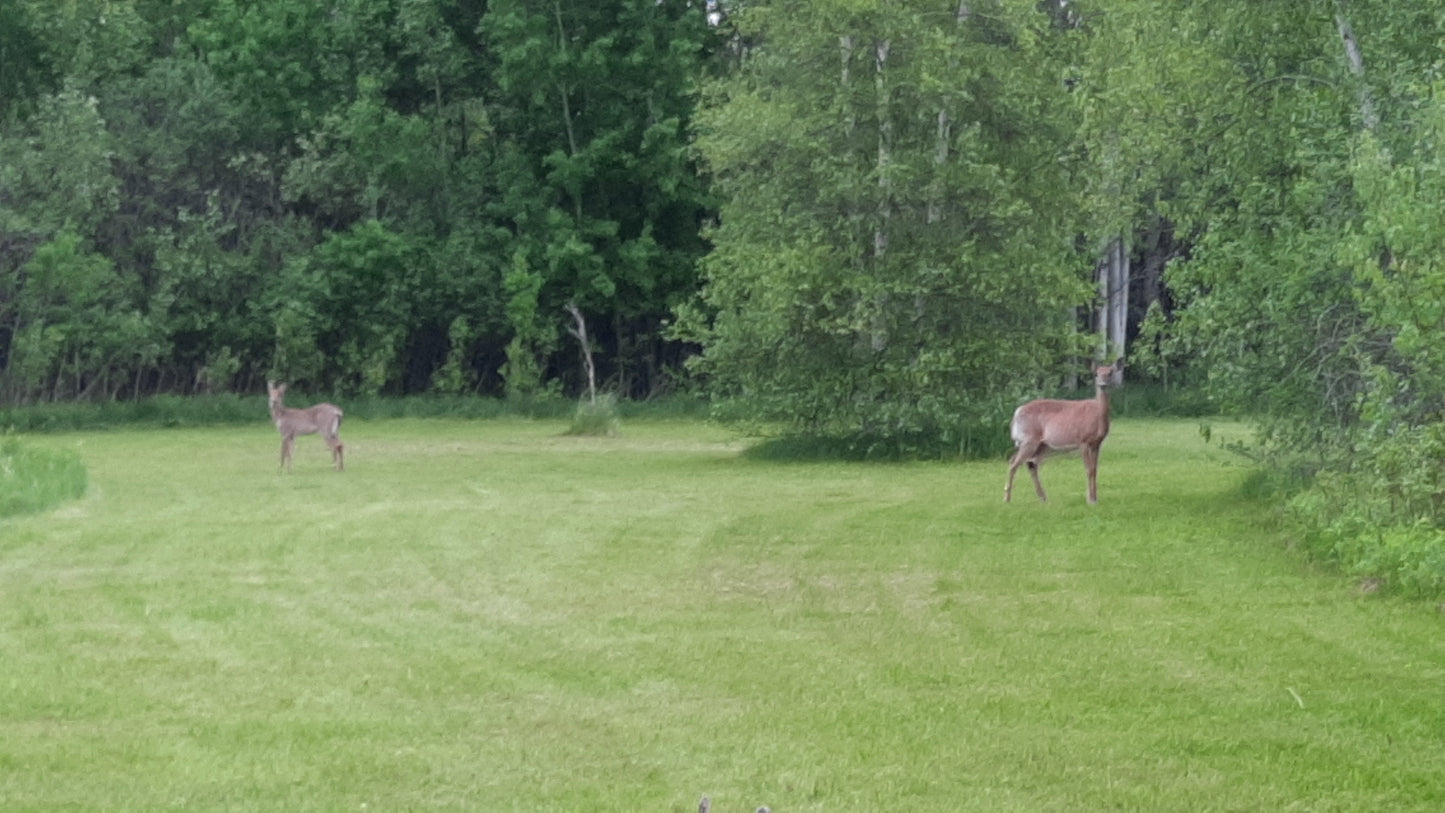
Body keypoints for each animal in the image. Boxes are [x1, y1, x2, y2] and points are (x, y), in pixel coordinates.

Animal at [1005, 361, 1115, 502]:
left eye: (1110, 373)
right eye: (1096, 373)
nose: (1103, 384)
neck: (1097, 416)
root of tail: (1017, 412)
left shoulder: (1097, 443)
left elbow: (1094, 469)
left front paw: (1095, 498)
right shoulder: (1083, 440)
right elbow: (1088, 469)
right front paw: (1090, 499)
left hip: (1042, 445)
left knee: (1029, 464)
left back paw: (1043, 498)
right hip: (1029, 439)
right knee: (1014, 463)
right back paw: (1007, 498)